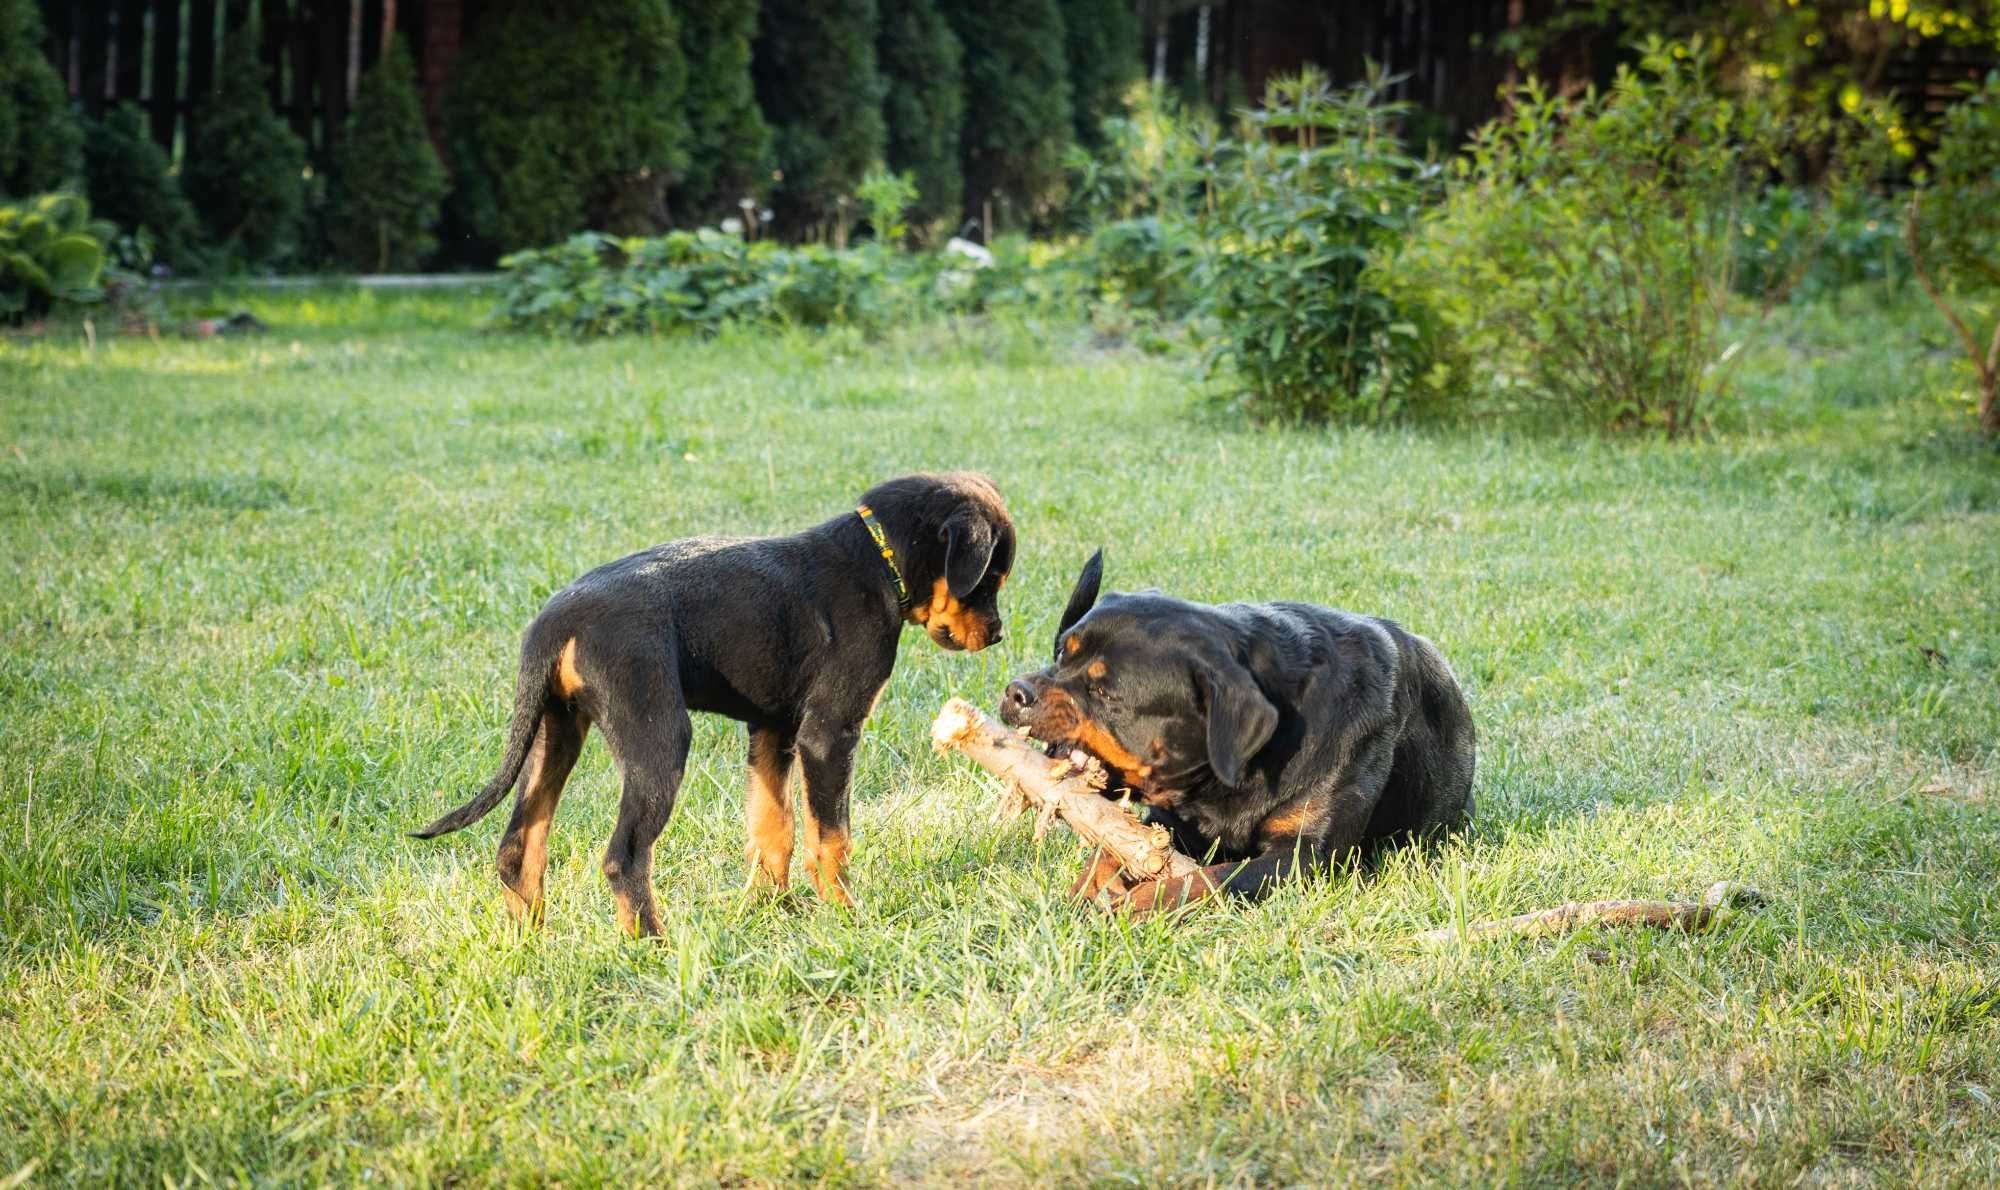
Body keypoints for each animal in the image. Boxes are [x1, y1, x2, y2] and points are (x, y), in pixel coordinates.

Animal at [418, 470, 1016, 936]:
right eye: (990, 579)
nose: (997, 635)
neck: (876, 558)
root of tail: (555, 621)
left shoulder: (773, 730)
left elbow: (774, 827)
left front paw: (770, 908)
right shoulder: (829, 733)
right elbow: (832, 837)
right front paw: (847, 915)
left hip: (554, 732)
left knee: (518, 848)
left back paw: (528, 941)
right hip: (658, 738)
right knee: (622, 857)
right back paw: (650, 945)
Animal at [1000, 556, 1472, 916]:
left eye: (1105, 693)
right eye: (1062, 653)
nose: (1016, 692)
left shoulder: (1302, 856)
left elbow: (1210, 880)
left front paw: (1143, 902)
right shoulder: (1166, 822)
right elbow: (1113, 850)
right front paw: (1090, 888)